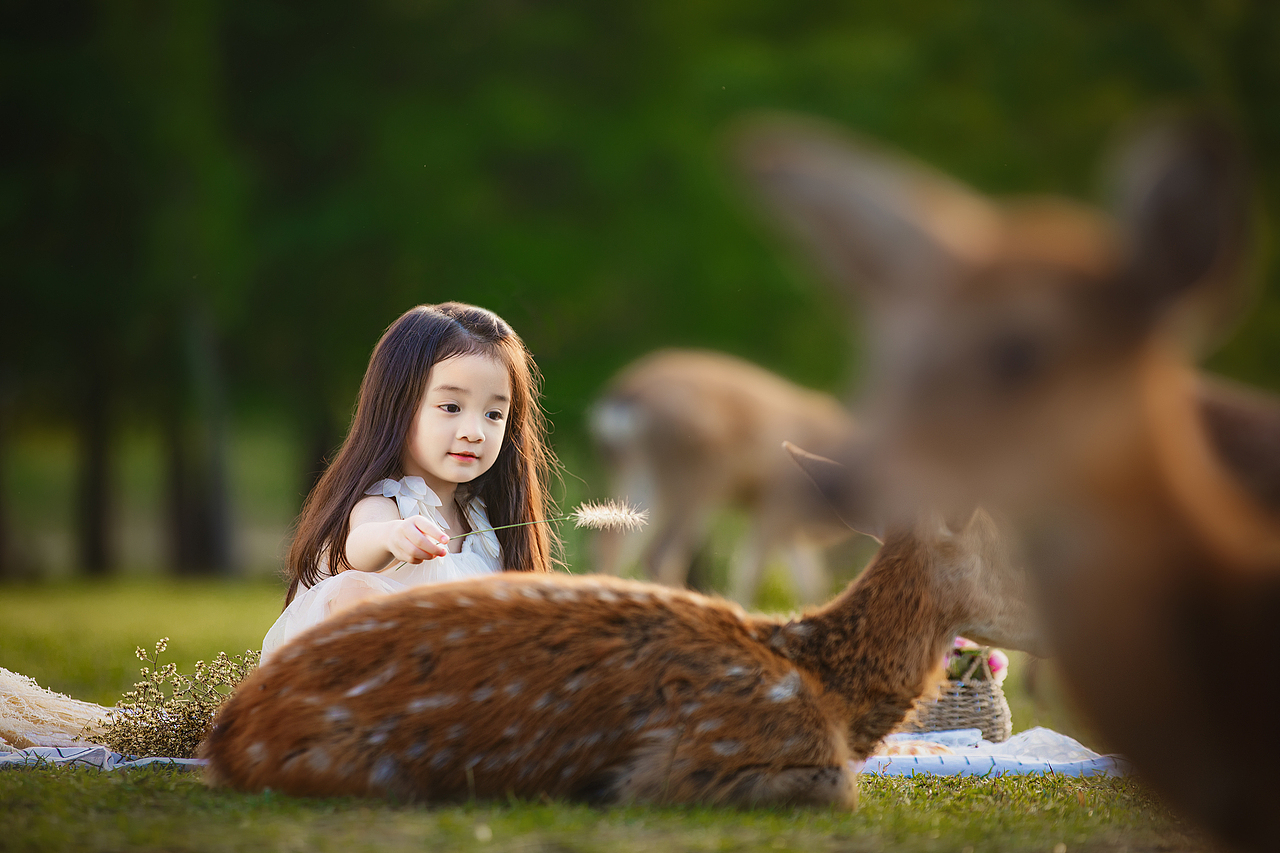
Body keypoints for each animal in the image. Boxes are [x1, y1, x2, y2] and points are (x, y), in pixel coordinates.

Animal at [590, 349, 857, 605]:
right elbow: (750, 570)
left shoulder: (785, 524)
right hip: (694, 481)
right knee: (659, 554)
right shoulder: (777, 502)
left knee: (610, 540)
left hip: (635, 476)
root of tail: (622, 401)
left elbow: (809, 579)